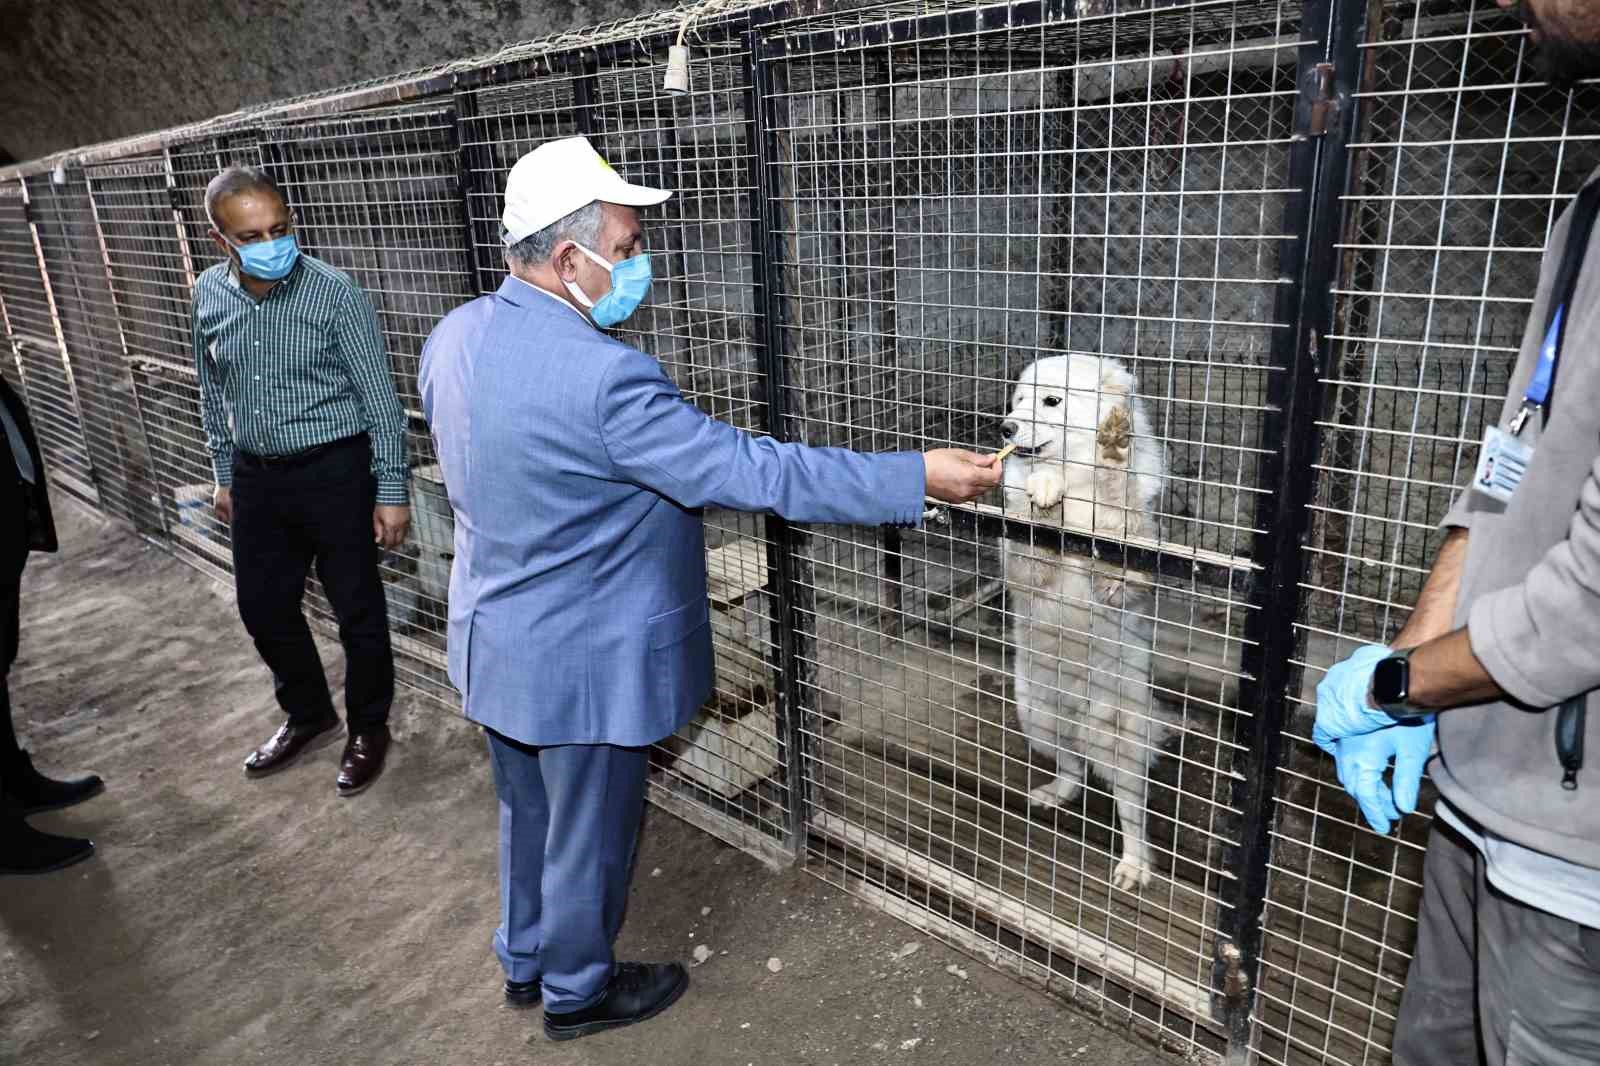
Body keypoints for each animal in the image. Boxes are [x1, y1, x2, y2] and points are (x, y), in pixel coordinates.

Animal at [998, 350, 1177, 889]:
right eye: (1019, 399)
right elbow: (1032, 524)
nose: (1005, 427)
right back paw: (1056, 792)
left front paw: (1113, 452)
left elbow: (1116, 494)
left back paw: (1135, 865)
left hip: (1116, 734)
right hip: (1037, 715)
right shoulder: (1026, 570)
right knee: (1073, 769)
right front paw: (1041, 490)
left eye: (1052, 401)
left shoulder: (1123, 576)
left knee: (1132, 810)